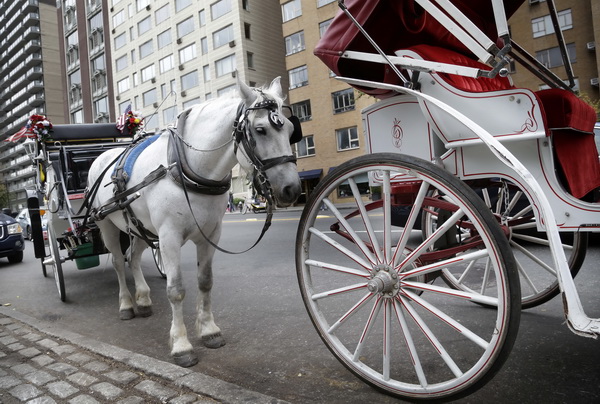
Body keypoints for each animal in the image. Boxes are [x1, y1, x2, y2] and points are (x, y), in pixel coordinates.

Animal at [86, 76, 302, 366]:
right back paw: (126, 304)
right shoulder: (168, 237)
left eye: (290, 129)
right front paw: (181, 345)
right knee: (120, 263)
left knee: (133, 257)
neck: (186, 167)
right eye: (260, 130)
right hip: (107, 225)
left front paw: (209, 330)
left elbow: (205, 281)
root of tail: (102, 157)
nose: (292, 189)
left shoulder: (210, 234)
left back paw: (142, 299)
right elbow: (175, 289)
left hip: (140, 228)